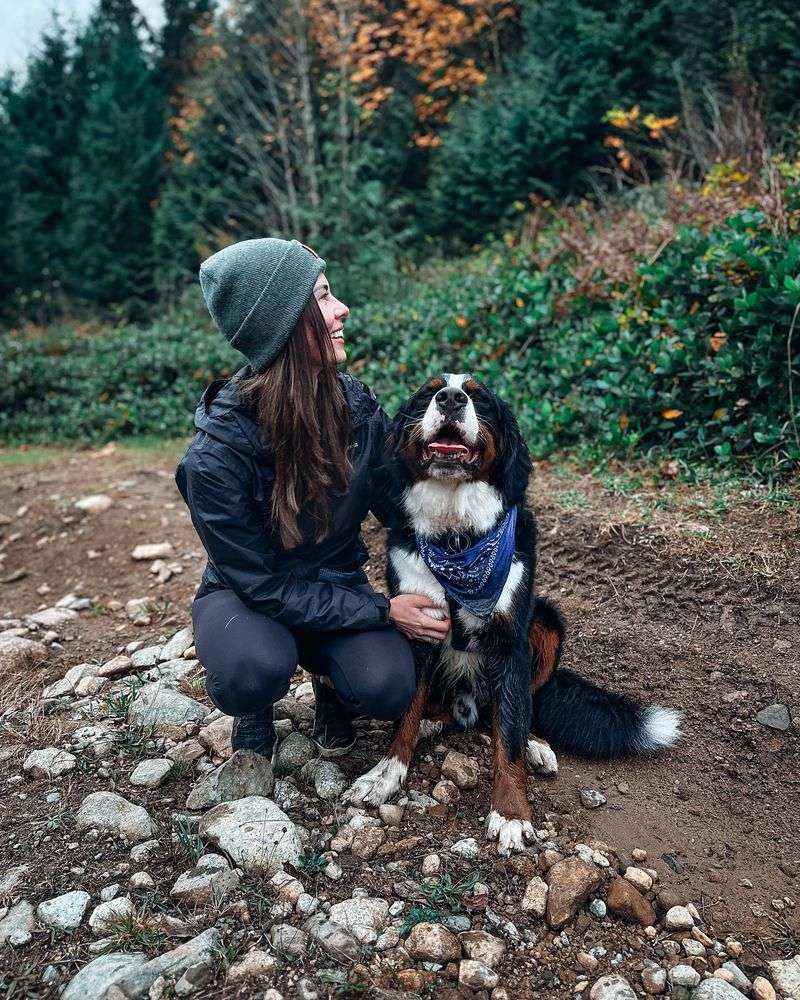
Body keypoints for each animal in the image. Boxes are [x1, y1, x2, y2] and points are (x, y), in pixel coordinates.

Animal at [342, 372, 680, 856]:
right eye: (428, 393)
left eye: (478, 396)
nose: (450, 399)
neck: (459, 536)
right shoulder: (418, 624)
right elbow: (405, 714)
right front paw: (385, 774)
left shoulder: (511, 643)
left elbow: (511, 740)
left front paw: (512, 814)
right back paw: (433, 720)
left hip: (547, 621)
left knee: (519, 713)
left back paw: (536, 745)